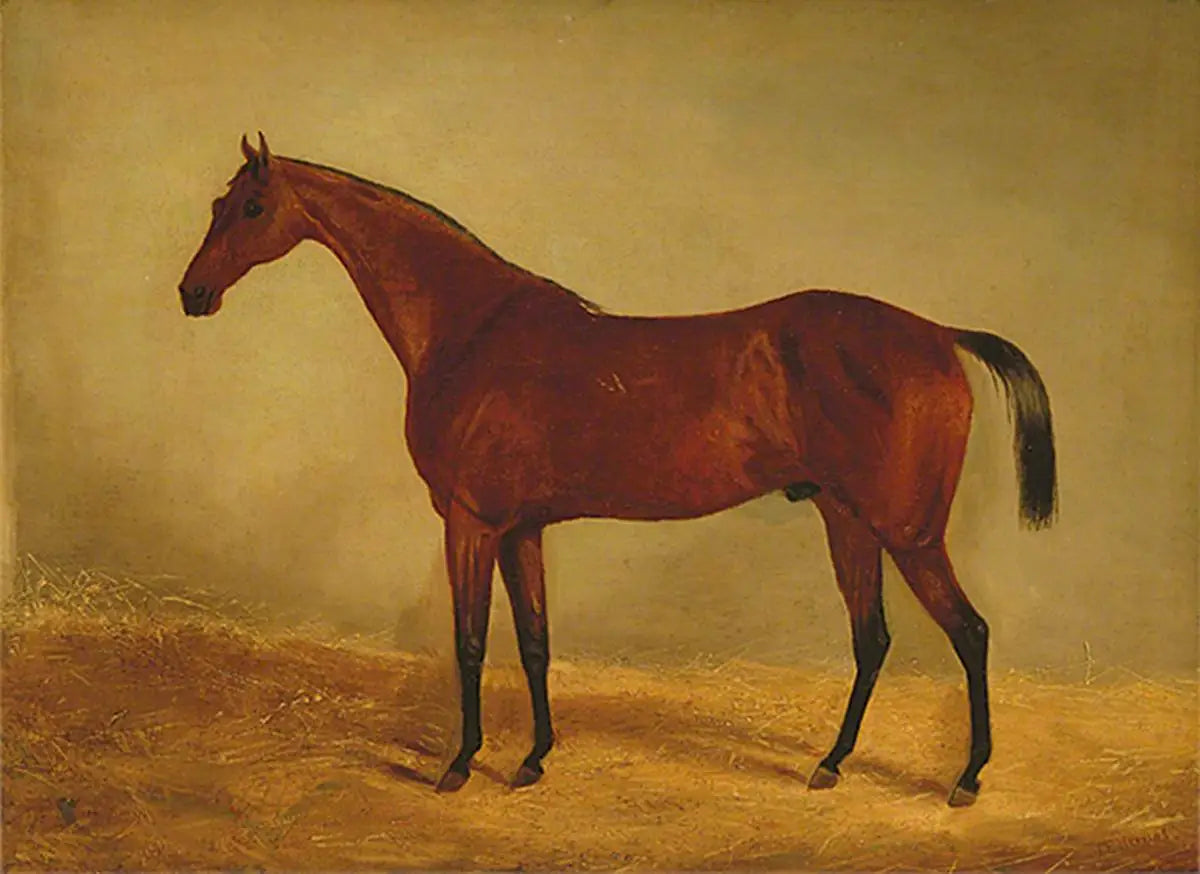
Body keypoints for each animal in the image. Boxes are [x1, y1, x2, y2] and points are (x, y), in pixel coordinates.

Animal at [179, 134, 1057, 807]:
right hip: (847, 522)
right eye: (217, 206)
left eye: (250, 209)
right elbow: (534, 641)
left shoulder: (470, 520)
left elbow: (470, 641)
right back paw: (831, 764)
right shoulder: (521, 528)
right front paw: (533, 760)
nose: (193, 294)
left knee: (969, 633)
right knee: (872, 639)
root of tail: (940, 333)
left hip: (908, 533)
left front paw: (460, 764)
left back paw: (967, 779)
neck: (470, 329)